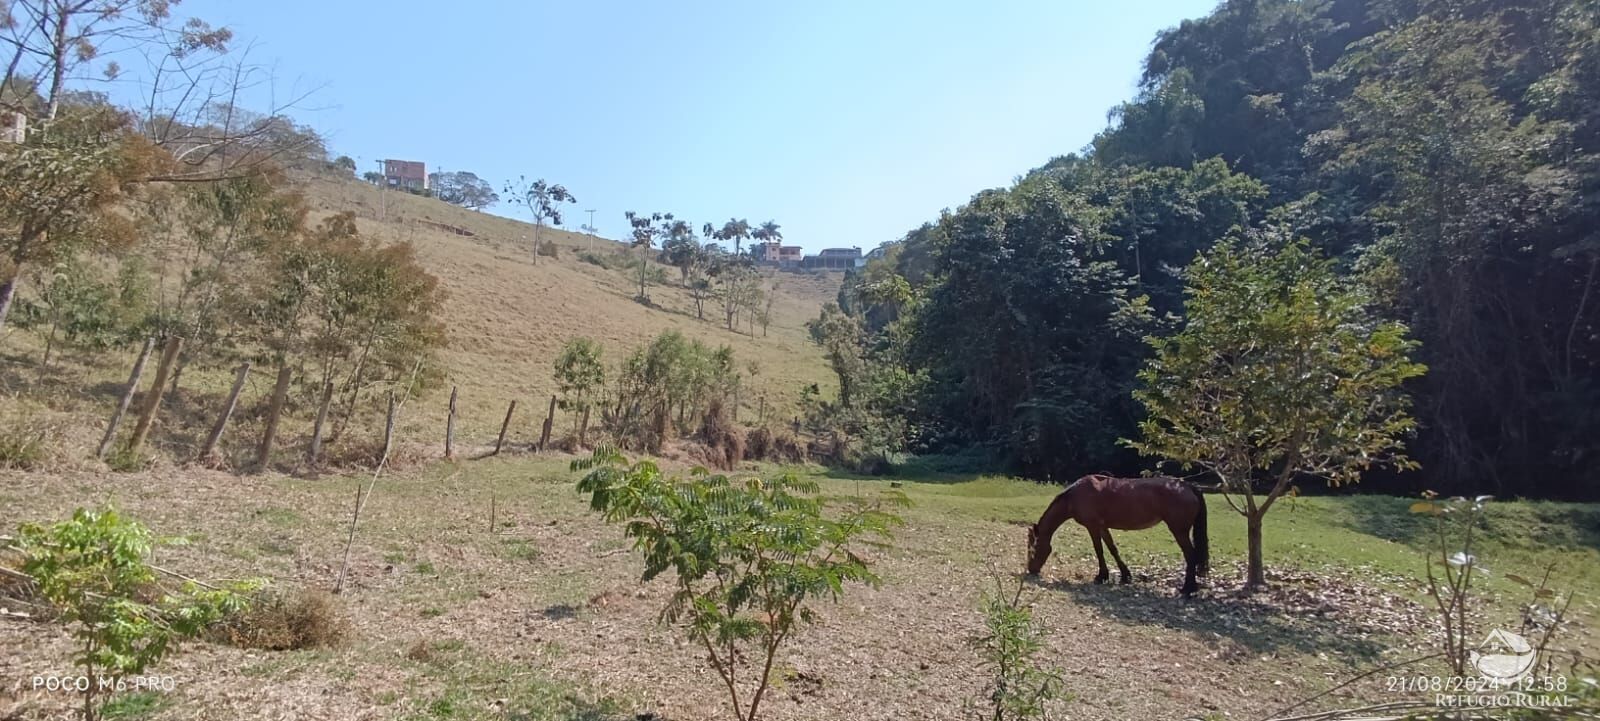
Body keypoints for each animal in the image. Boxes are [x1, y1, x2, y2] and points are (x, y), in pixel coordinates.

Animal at [1030, 473, 1203, 597]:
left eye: (1032, 549)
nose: (1031, 570)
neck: (1074, 496)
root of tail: (1187, 486)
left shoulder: (1092, 526)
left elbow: (1099, 550)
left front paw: (1101, 576)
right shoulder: (1102, 527)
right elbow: (1112, 548)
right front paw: (1125, 576)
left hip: (1179, 531)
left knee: (1191, 555)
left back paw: (1188, 589)